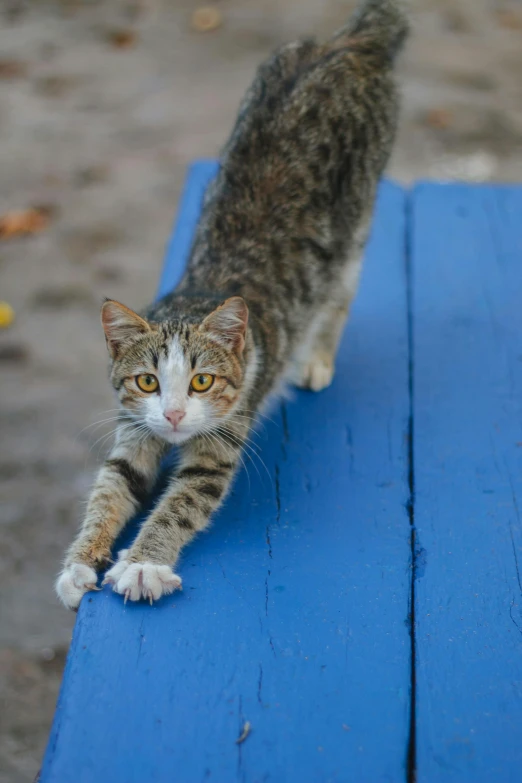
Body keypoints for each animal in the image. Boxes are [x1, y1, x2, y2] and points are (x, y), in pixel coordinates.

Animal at [55, 0, 406, 608]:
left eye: (202, 382)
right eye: (148, 381)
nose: (174, 414)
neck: (195, 296)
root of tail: (347, 41)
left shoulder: (222, 438)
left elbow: (181, 500)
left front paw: (142, 564)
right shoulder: (133, 428)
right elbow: (110, 486)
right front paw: (81, 562)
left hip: (357, 219)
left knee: (340, 291)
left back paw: (317, 357)